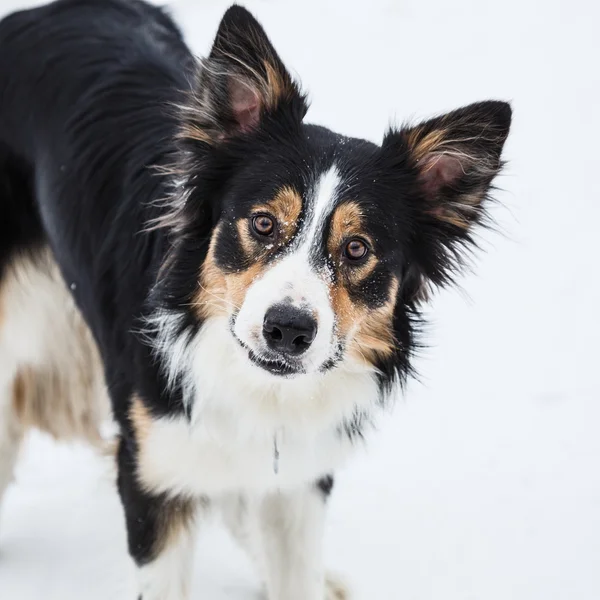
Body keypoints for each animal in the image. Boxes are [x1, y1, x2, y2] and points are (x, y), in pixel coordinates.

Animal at [0, 1, 510, 600]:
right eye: (263, 223)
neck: (256, 389)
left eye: (357, 248)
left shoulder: (301, 482)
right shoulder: (154, 476)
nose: (287, 330)